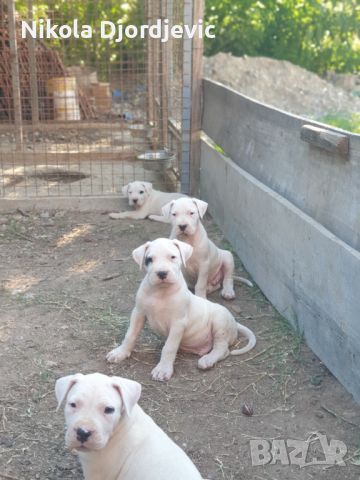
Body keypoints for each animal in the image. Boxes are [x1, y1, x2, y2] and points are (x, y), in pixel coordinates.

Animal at [105, 238, 255, 380]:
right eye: (149, 259)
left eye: (173, 257)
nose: (162, 273)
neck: (160, 292)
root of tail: (234, 322)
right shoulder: (138, 313)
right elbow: (130, 335)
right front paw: (120, 353)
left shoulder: (178, 323)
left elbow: (169, 347)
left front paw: (163, 369)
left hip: (220, 322)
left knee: (222, 349)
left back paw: (208, 360)